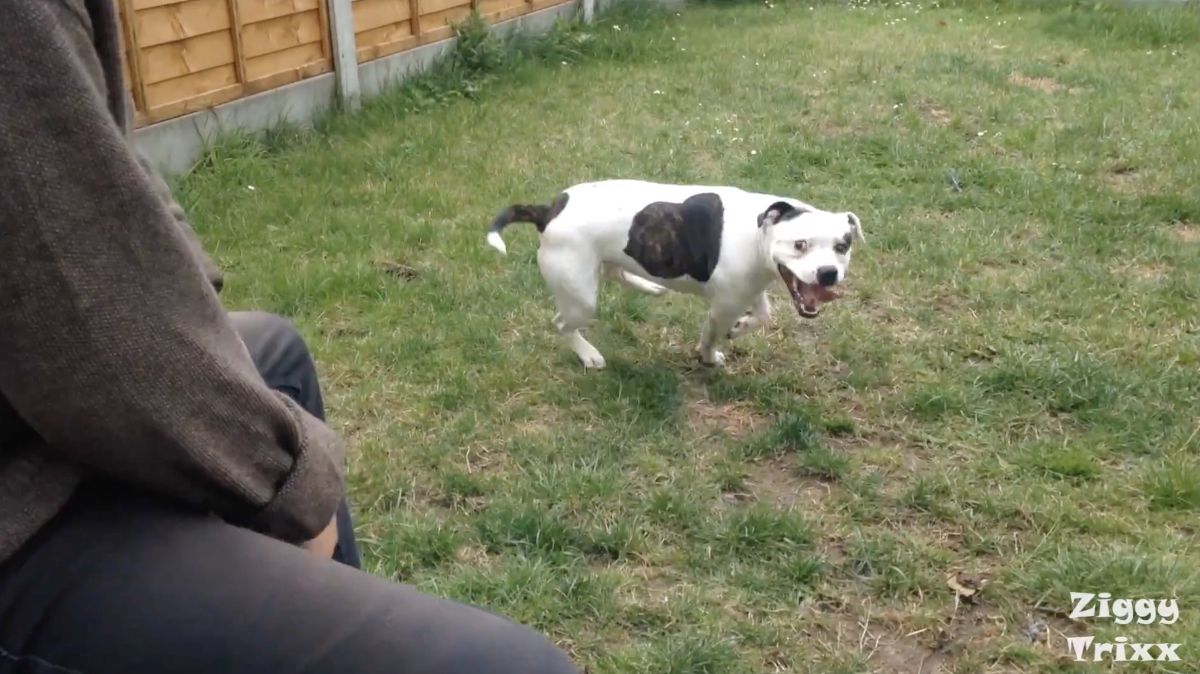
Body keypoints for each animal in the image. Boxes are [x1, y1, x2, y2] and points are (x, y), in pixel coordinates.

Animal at [486, 179, 863, 370]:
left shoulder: (749, 289)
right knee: (563, 324)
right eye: (800, 244)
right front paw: (709, 357)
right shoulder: (724, 306)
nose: (828, 273)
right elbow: (712, 336)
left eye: (843, 246)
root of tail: (548, 211)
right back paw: (588, 354)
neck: (758, 232)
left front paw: (742, 328)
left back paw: (648, 286)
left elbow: (763, 315)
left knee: (614, 270)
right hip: (580, 297)